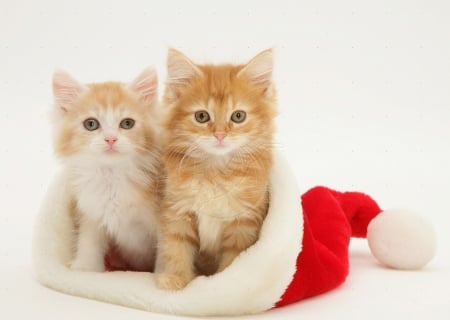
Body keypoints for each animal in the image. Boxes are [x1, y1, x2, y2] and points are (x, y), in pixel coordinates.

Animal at [51, 68, 161, 272]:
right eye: (91, 124)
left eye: (127, 123)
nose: (110, 139)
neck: (111, 176)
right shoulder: (92, 214)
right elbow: (88, 242)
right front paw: (84, 269)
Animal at [156, 49, 278, 290]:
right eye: (202, 116)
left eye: (238, 116)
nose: (220, 134)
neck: (215, 172)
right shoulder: (178, 210)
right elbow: (177, 248)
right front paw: (176, 278)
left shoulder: (244, 221)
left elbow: (234, 259)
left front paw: (223, 284)